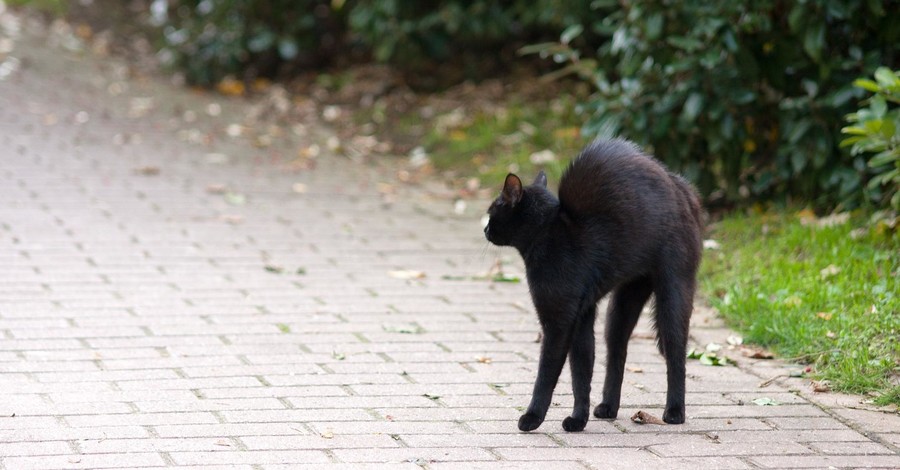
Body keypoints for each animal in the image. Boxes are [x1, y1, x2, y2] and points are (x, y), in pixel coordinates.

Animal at [486, 138, 704, 432]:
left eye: (491, 212)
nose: (485, 229)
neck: (548, 234)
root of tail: (682, 186)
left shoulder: (558, 320)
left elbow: (547, 373)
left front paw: (532, 417)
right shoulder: (581, 316)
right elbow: (581, 371)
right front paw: (579, 419)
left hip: (673, 291)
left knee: (676, 352)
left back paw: (675, 411)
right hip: (623, 303)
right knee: (616, 353)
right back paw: (608, 407)